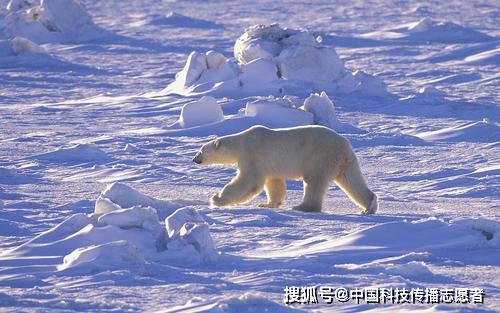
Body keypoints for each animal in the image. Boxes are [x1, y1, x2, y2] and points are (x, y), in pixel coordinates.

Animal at [193, 125, 376, 213]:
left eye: (201, 150)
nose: (194, 159)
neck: (241, 142)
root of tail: (345, 147)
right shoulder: (269, 165)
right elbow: (274, 183)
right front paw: (267, 204)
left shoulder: (252, 155)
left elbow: (249, 181)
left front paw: (216, 199)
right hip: (345, 163)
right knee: (352, 181)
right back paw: (369, 207)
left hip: (320, 157)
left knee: (314, 182)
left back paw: (303, 207)